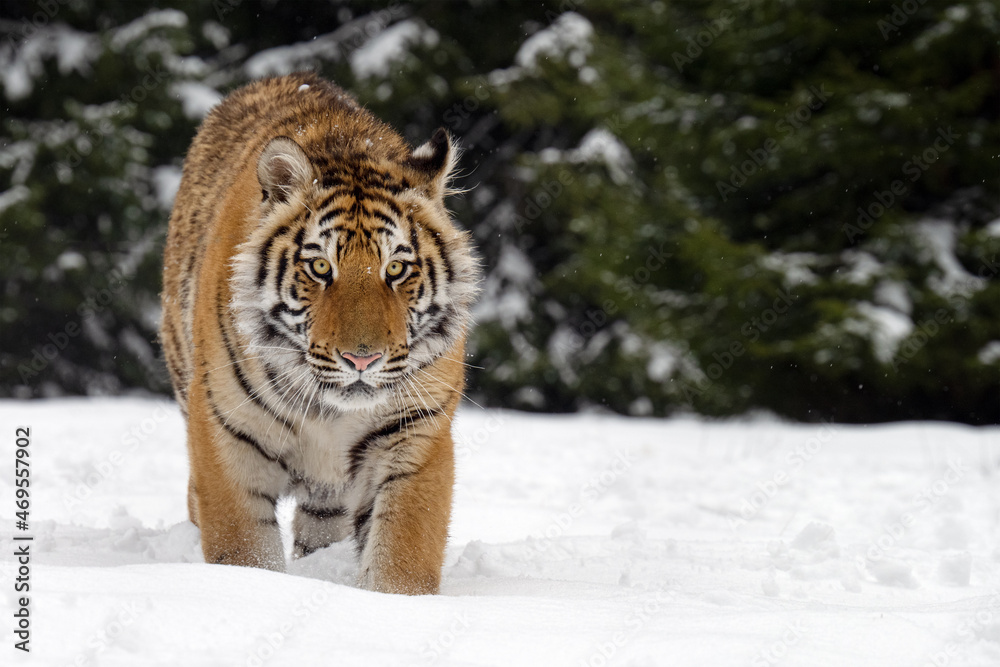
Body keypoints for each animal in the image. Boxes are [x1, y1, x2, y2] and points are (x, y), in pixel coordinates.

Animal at [160, 72, 479, 595]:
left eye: (396, 268)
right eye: (320, 267)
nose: (362, 360)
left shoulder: (415, 430)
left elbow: (404, 552)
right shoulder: (228, 434)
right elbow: (243, 551)